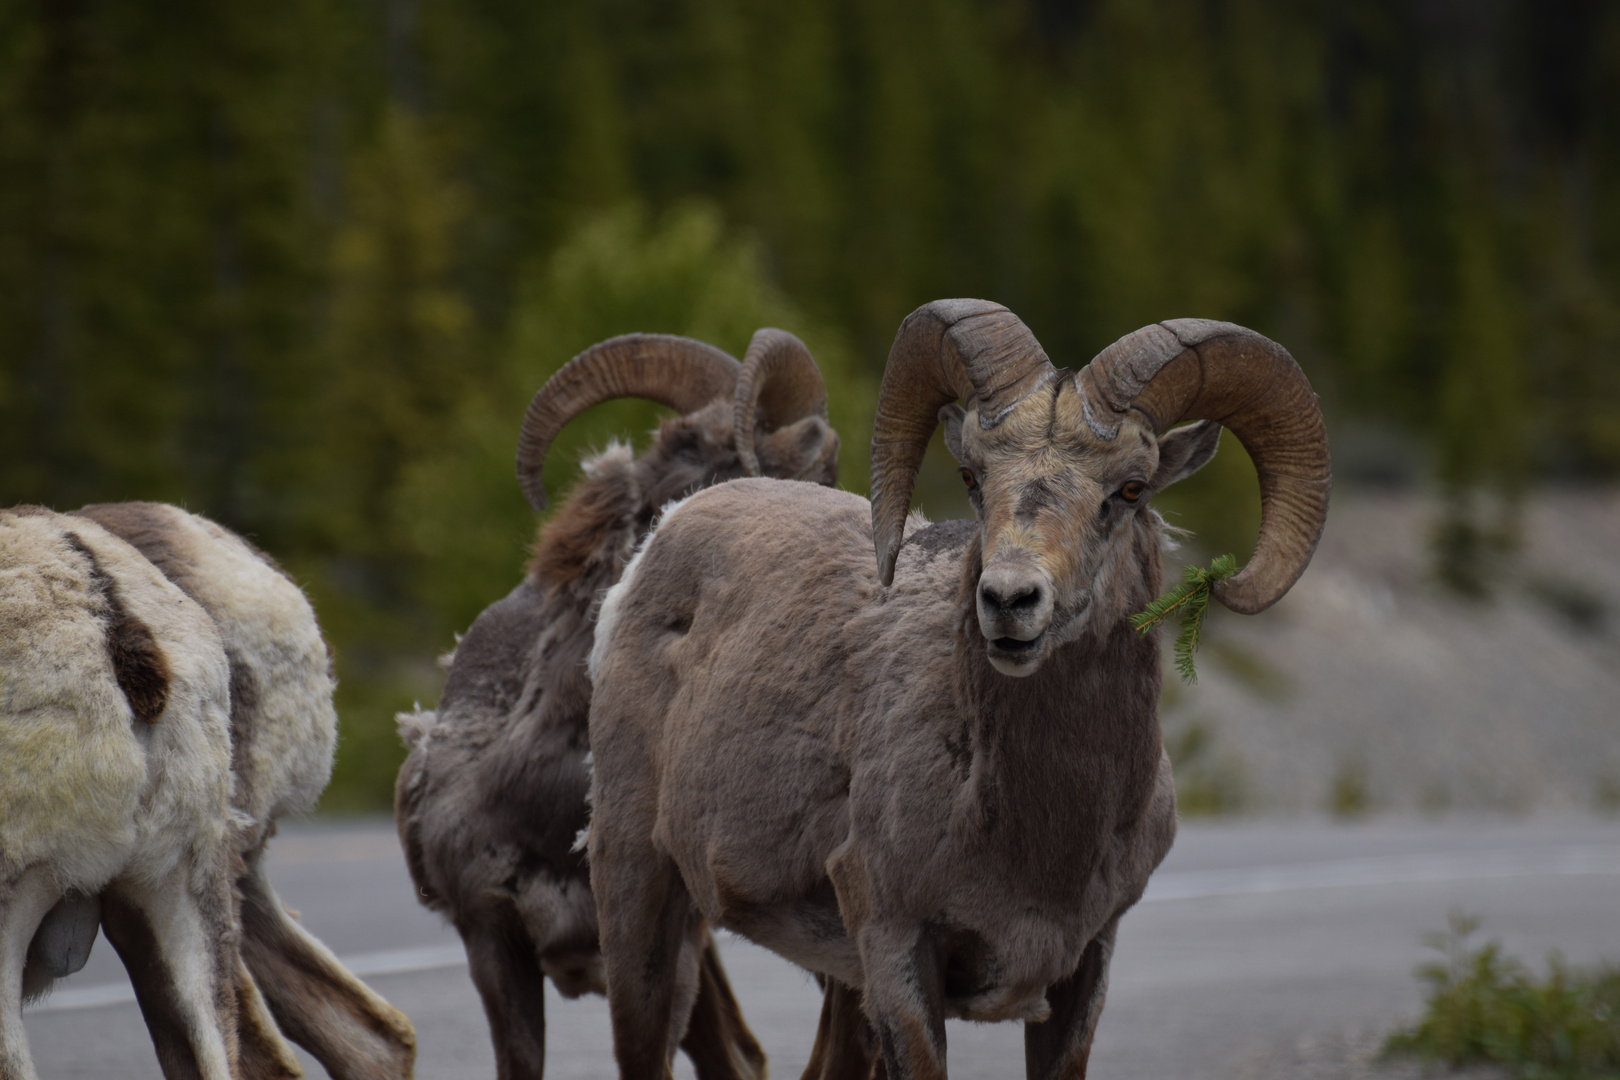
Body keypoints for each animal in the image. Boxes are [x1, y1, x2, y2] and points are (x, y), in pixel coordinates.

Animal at [583, 299, 1328, 1075]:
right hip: (639, 892)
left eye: (1130, 488)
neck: (1038, 832)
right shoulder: (900, 958)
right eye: (973, 476)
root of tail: (665, 533)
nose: (1008, 600)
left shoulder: (1084, 966)